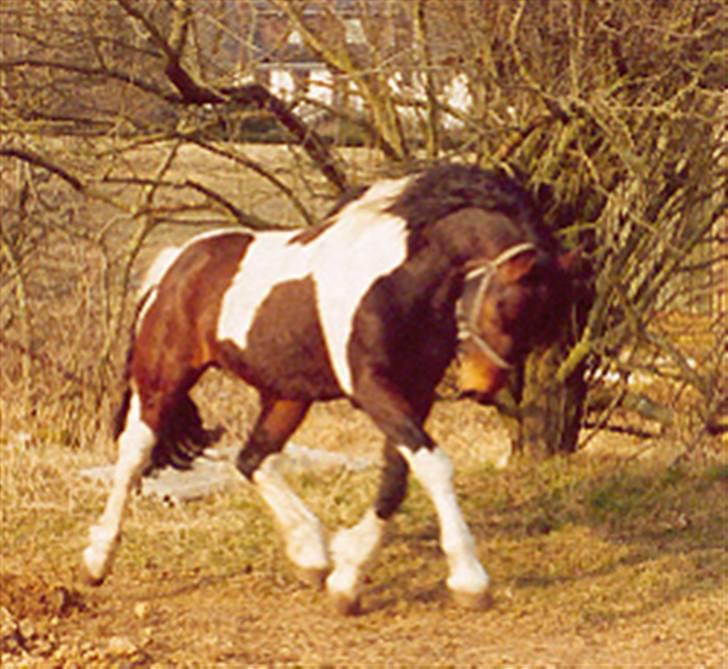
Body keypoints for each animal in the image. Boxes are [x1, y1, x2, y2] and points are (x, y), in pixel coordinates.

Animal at [82, 162, 576, 612]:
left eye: (545, 318)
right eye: (507, 306)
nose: (481, 386)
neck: (398, 278)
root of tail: (177, 262)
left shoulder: (414, 394)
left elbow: (396, 478)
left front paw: (348, 576)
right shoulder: (371, 388)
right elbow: (434, 465)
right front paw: (470, 580)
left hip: (287, 395)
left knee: (252, 458)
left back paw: (311, 554)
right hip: (161, 379)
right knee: (135, 454)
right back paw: (97, 560)